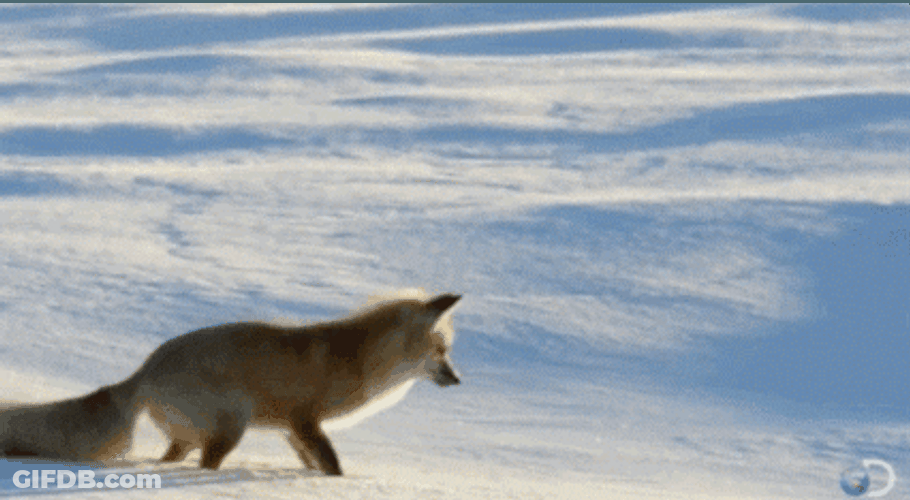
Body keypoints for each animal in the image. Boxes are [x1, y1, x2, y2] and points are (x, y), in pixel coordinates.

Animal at [0, 291, 463, 475]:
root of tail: (145, 370)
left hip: (191, 436)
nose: (458, 379)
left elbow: (315, 464)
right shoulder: (305, 421)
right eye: (442, 352)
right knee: (205, 464)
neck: (355, 360)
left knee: (171, 459)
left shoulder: (292, 431)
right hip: (231, 427)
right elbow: (332, 465)